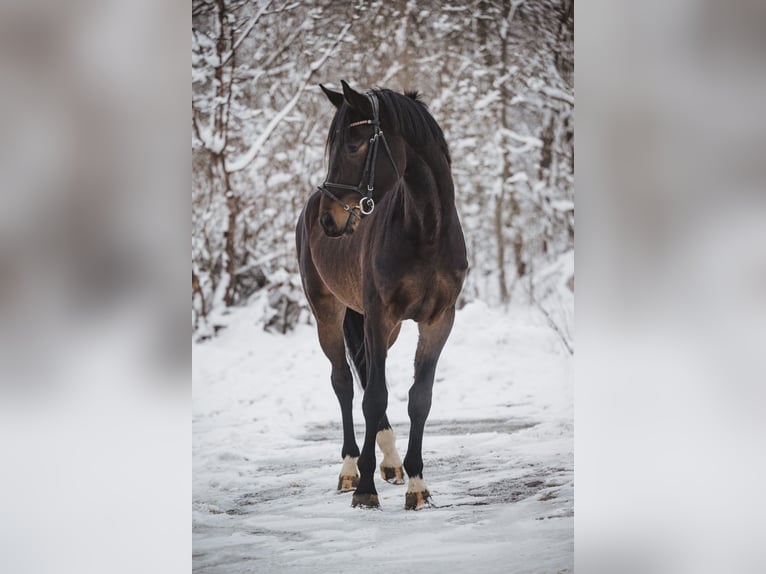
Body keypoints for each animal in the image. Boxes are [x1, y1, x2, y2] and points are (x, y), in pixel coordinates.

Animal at [295, 80, 467, 510]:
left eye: (355, 145)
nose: (329, 220)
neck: (425, 231)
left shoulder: (438, 321)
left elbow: (418, 397)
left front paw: (418, 485)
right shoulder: (377, 315)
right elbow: (373, 396)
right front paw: (365, 490)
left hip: (387, 330)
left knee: (367, 376)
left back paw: (391, 463)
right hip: (328, 313)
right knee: (344, 382)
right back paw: (350, 469)